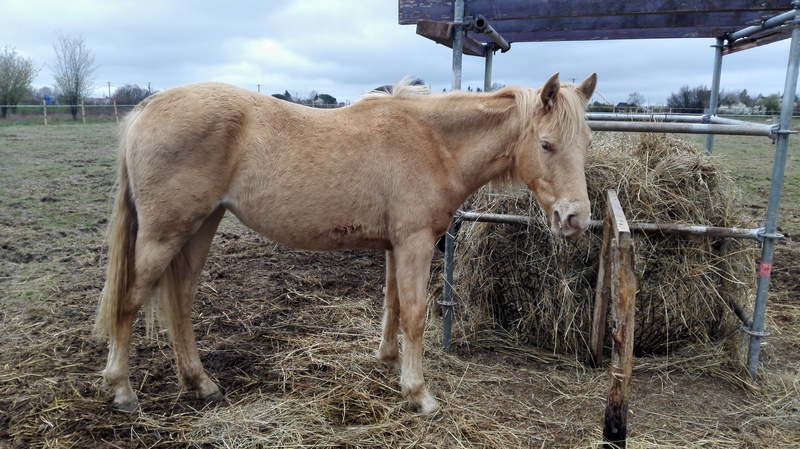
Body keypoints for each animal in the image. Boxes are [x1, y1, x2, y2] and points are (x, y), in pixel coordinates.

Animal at [94, 72, 596, 412]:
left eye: (587, 141)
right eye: (547, 144)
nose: (576, 219)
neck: (432, 142)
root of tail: (146, 108)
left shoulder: (396, 245)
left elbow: (393, 303)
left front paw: (388, 362)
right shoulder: (415, 243)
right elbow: (415, 314)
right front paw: (420, 394)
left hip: (200, 227)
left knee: (179, 301)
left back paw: (200, 384)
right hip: (165, 234)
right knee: (129, 301)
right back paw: (122, 391)